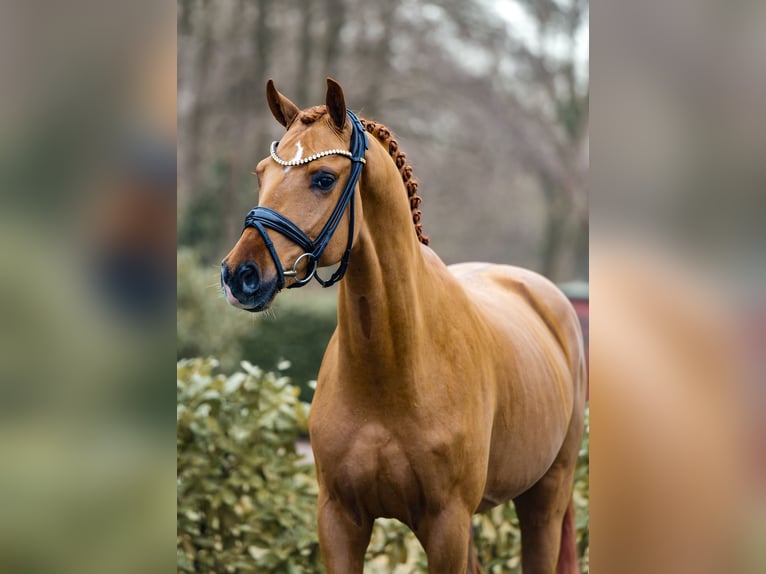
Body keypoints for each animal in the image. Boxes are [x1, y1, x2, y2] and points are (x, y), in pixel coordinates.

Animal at [222, 77, 588, 574]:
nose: (239, 275)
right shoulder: (339, 519)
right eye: (261, 174)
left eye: (323, 178)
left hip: (544, 500)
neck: (393, 370)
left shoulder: (446, 524)